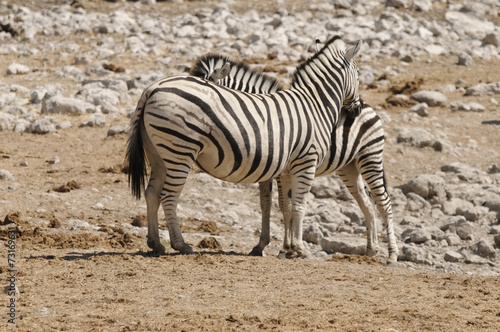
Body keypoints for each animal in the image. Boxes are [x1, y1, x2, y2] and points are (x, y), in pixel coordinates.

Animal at [128, 37, 364, 260]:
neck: (315, 105)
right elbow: (298, 205)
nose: (358, 109)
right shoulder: (305, 161)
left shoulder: (284, 169)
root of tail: (152, 88)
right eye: (359, 74)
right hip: (180, 150)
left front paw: (286, 248)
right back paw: (181, 245)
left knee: (151, 193)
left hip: (158, 154)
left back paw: (156, 244)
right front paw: (299, 249)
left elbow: (281, 205)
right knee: (168, 196)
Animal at [191, 53, 398, 264]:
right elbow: (269, 204)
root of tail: (366, 107)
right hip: (349, 166)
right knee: (367, 204)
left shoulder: (280, 169)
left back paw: (392, 255)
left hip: (369, 157)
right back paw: (371, 251)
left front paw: (286, 248)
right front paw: (268, 246)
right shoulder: (271, 170)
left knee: (384, 204)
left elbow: (285, 206)